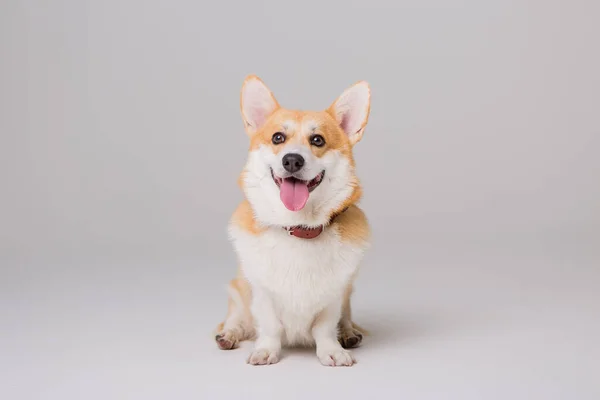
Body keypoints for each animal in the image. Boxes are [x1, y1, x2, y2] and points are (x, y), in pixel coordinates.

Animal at [216, 76, 372, 368]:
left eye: (317, 140)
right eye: (278, 138)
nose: (292, 160)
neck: (299, 228)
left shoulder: (334, 295)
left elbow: (325, 327)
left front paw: (331, 350)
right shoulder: (261, 293)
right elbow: (269, 326)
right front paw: (266, 350)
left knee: (346, 317)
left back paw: (348, 333)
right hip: (237, 288)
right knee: (236, 318)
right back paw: (228, 335)